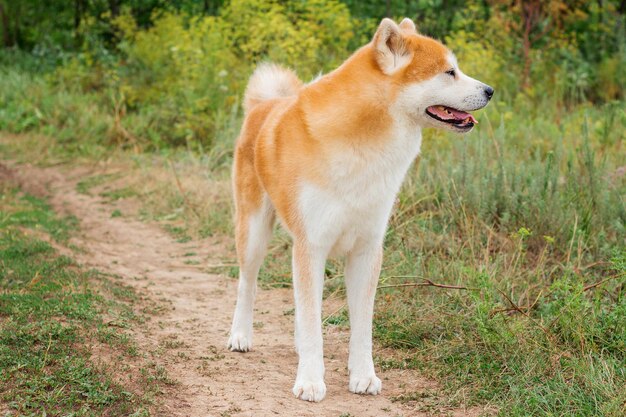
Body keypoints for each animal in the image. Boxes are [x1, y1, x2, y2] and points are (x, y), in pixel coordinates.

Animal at [227, 17, 490, 402]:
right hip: (254, 233)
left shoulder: (367, 251)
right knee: (247, 285)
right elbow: (313, 323)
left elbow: (360, 327)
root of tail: (266, 104)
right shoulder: (312, 246)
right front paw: (310, 380)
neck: (365, 144)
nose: (490, 91)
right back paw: (240, 336)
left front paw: (363, 376)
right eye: (449, 72)